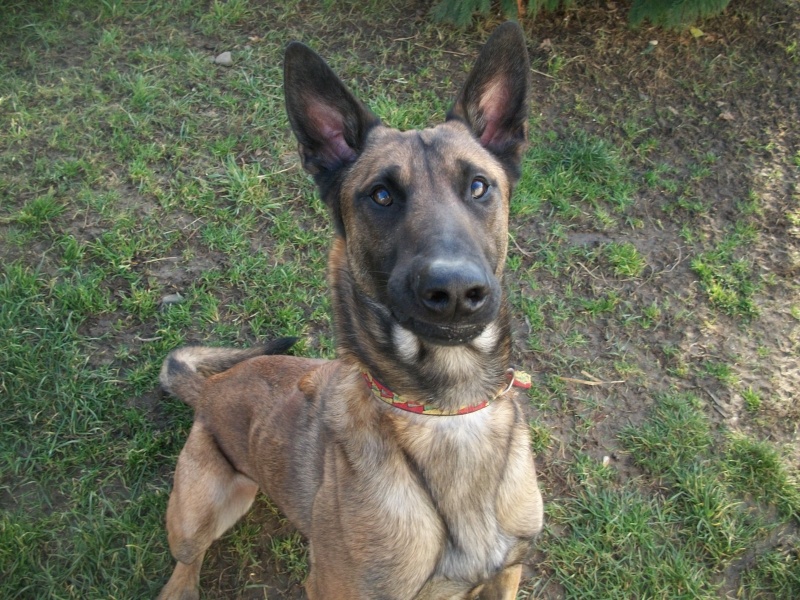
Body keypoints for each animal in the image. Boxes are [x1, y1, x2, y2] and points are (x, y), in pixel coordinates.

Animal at [156, 23, 544, 600]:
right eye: (381, 195)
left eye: (479, 186)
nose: (455, 291)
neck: (450, 410)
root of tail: (210, 391)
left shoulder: (507, 572)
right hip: (201, 511)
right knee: (184, 564)